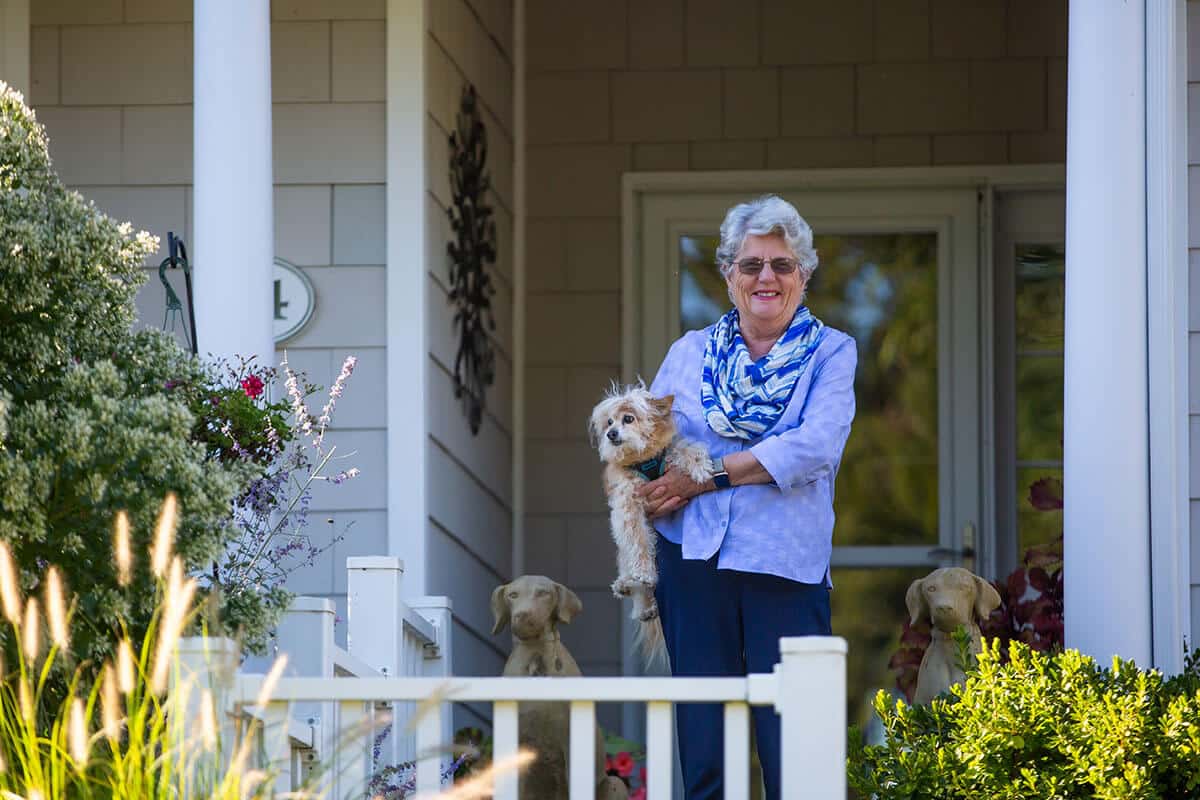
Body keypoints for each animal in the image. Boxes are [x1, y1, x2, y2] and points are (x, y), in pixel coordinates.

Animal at [590, 383, 710, 662]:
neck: (642, 457)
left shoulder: (668, 453)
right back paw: (631, 589)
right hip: (624, 554)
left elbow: (685, 447)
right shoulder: (628, 507)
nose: (611, 433)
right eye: (609, 422)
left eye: (628, 419)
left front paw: (700, 466)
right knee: (634, 569)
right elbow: (638, 543)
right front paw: (642, 573)